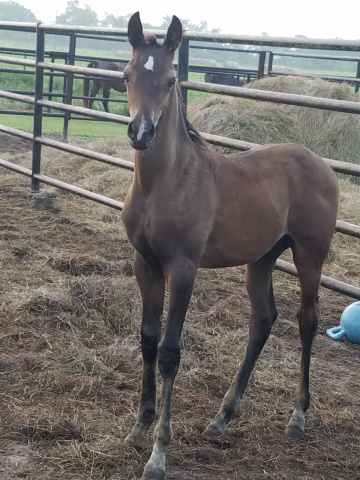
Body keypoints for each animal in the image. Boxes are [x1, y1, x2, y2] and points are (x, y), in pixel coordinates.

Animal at [122, 11, 338, 480]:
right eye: (127, 75)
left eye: (170, 79)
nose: (141, 132)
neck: (164, 182)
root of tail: (320, 163)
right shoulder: (145, 263)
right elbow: (147, 339)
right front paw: (138, 429)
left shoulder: (183, 267)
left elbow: (169, 351)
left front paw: (158, 453)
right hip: (261, 260)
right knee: (263, 319)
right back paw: (222, 417)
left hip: (309, 254)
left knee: (307, 320)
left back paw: (297, 418)